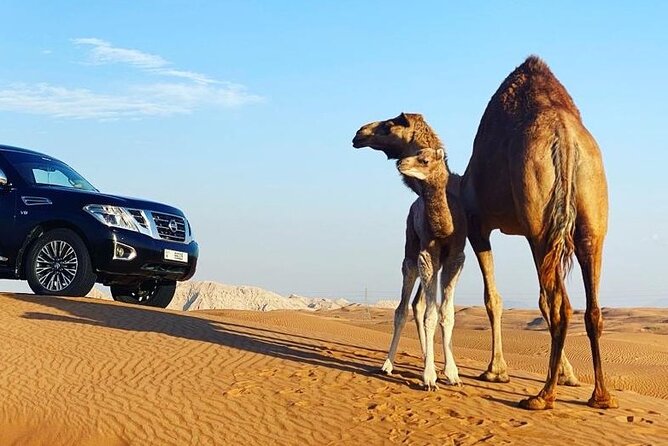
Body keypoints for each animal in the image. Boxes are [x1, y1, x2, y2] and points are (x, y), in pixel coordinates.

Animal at [353, 114, 466, 389]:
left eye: (389, 124)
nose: (358, 133)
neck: (445, 226)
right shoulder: (426, 253)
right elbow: (431, 315)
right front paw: (429, 378)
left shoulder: (456, 256)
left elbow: (446, 313)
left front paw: (452, 373)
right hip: (411, 254)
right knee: (404, 308)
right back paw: (388, 365)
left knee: (419, 305)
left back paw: (428, 360)